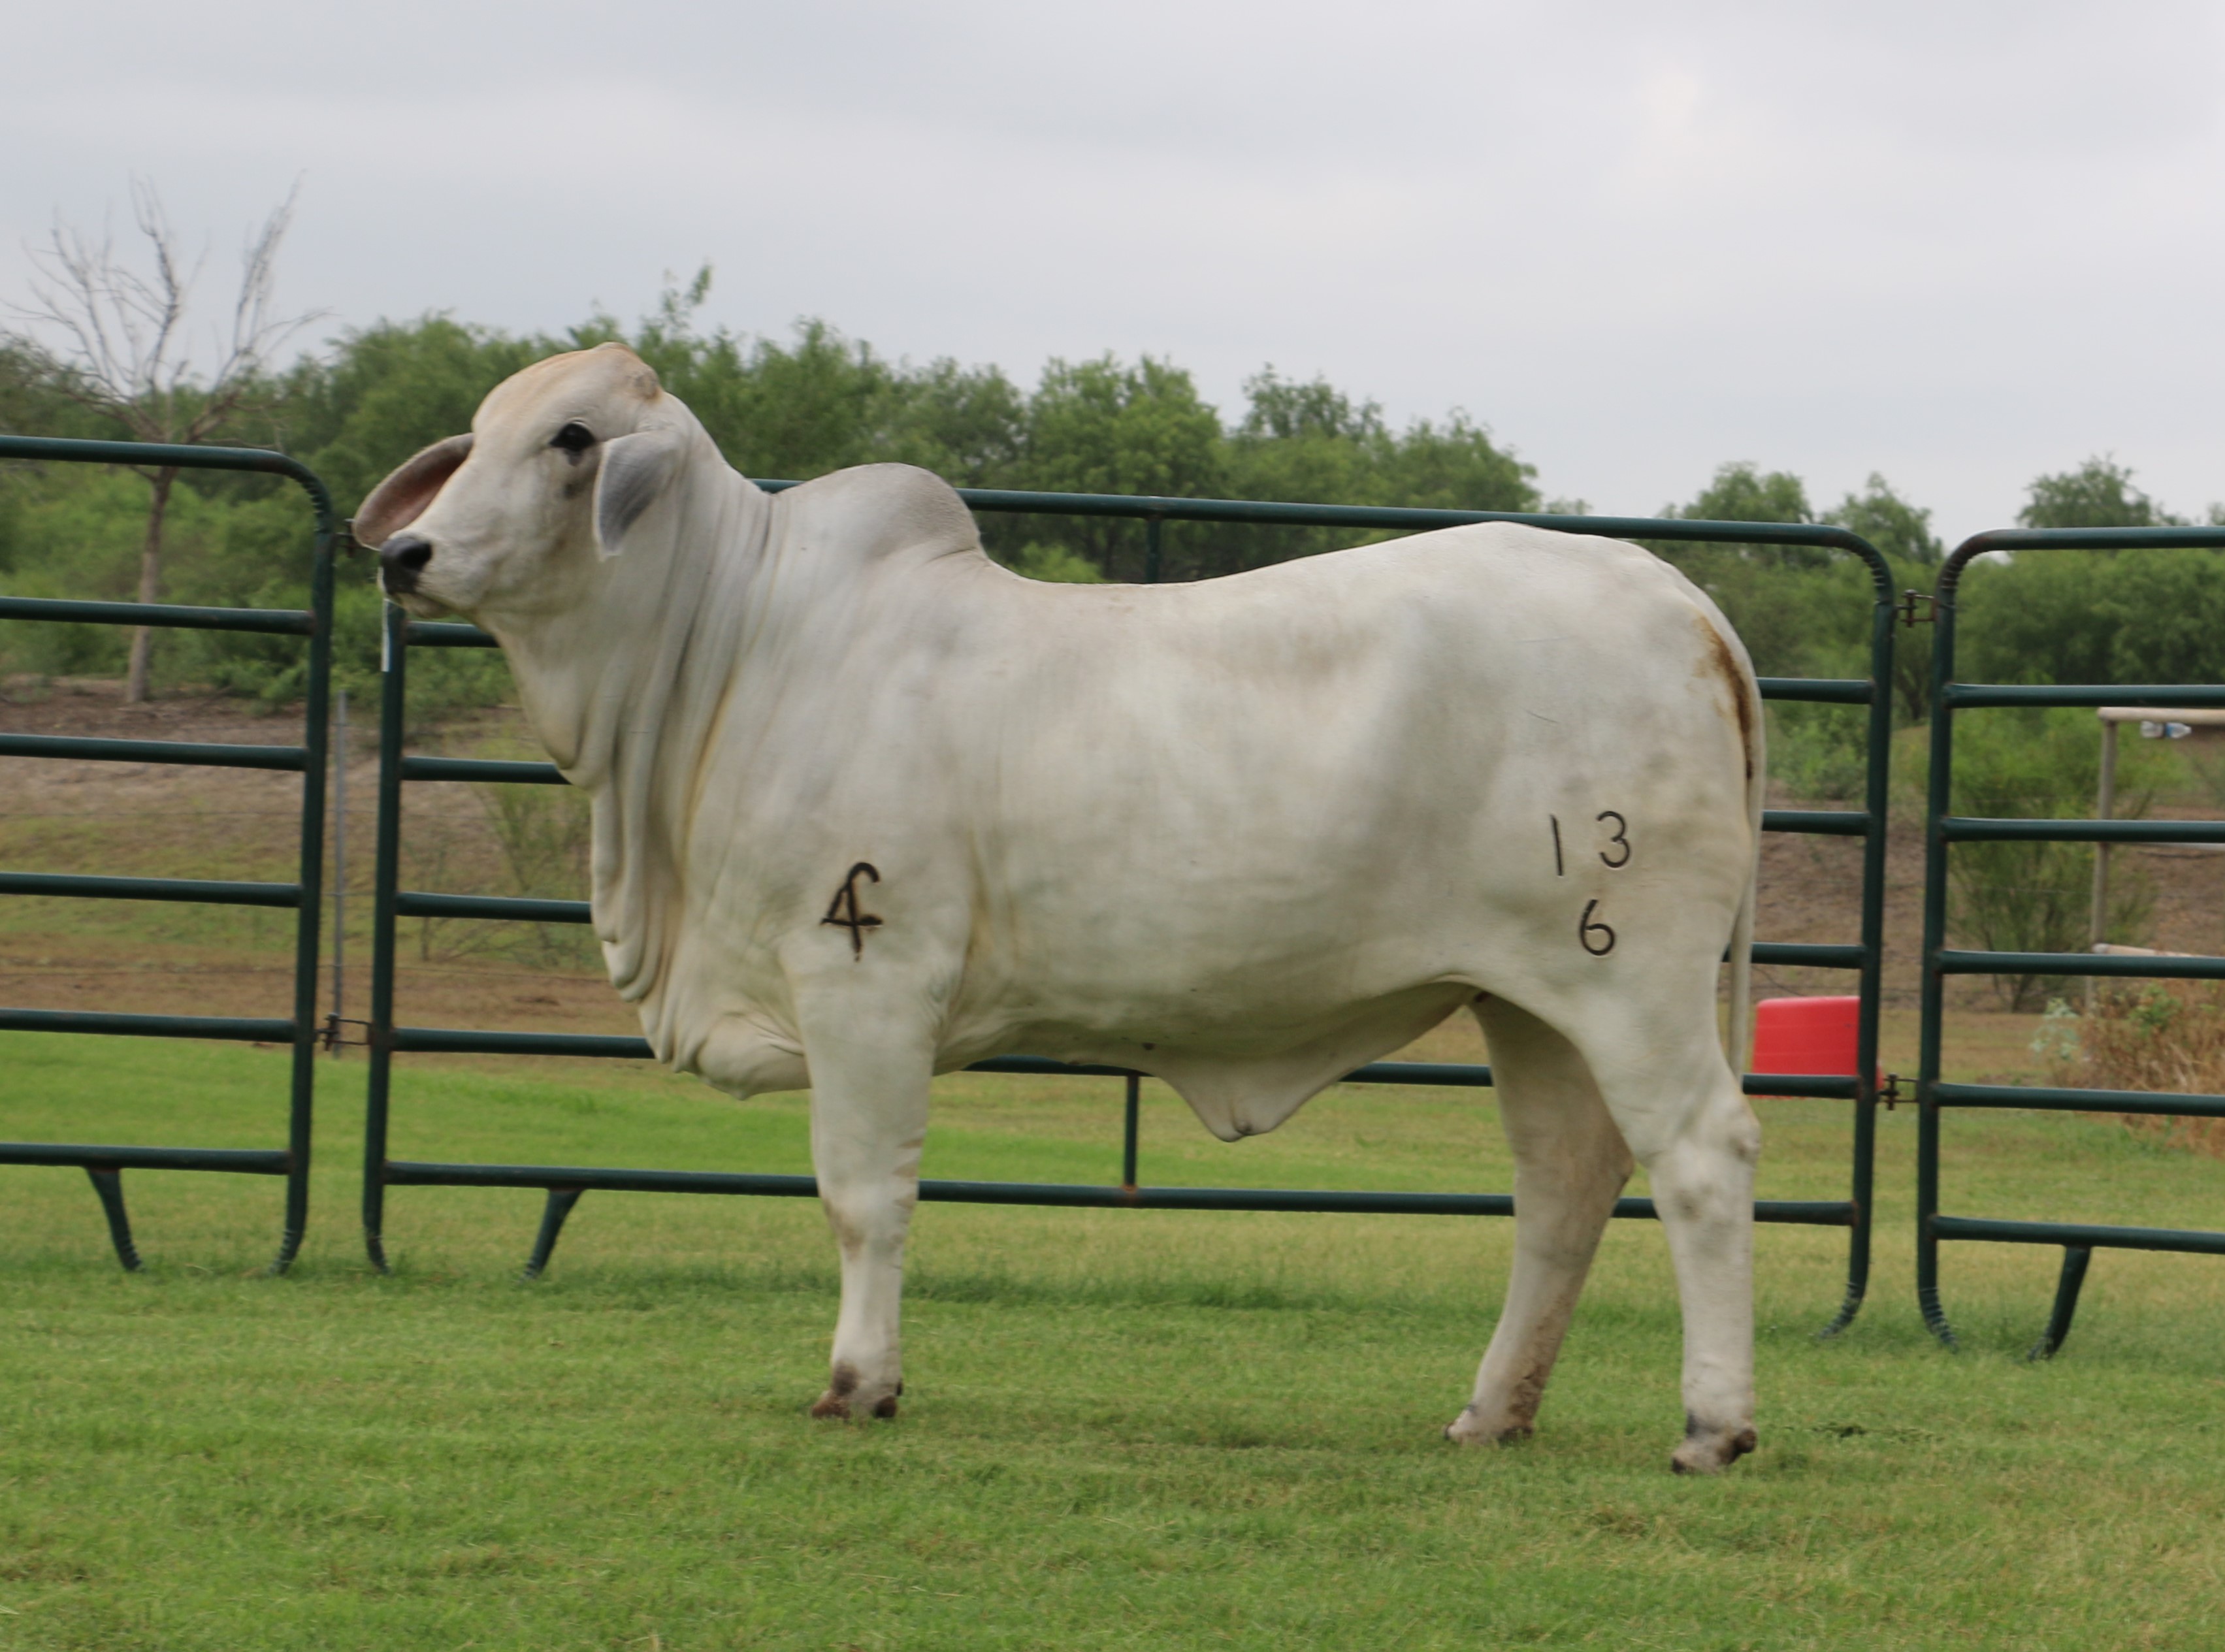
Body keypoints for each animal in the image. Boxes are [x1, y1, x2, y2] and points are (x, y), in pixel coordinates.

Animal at [357, 342, 1765, 1472]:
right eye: (477, 433)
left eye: (572, 437)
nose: (405, 555)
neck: (731, 648)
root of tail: (1678, 597)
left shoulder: (863, 968)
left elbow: (862, 1193)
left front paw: (859, 1380)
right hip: (1525, 998)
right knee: (1563, 1183)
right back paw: (1490, 1410)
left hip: (1631, 975)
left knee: (1701, 1154)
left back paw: (1712, 1424)